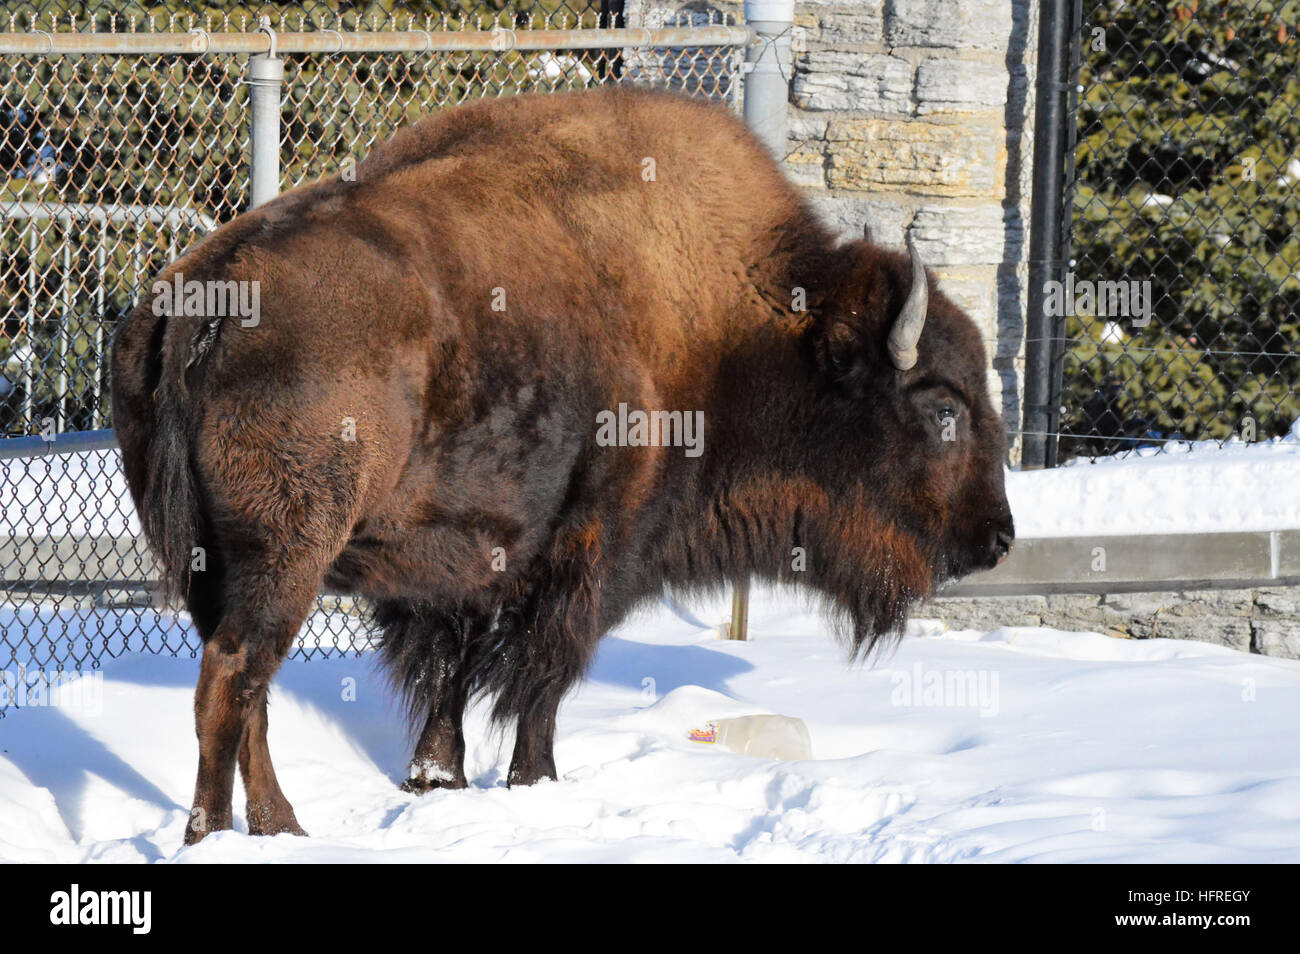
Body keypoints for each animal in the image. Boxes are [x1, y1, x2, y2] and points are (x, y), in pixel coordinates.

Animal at [110, 86, 1013, 844]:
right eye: (944, 411)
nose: (999, 538)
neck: (740, 329)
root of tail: (207, 291)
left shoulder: (457, 563)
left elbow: (451, 673)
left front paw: (437, 778)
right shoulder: (592, 554)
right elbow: (545, 675)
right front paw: (535, 779)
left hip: (212, 562)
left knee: (247, 687)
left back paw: (282, 827)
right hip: (287, 555)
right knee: (234, 678)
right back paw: (218, 833)